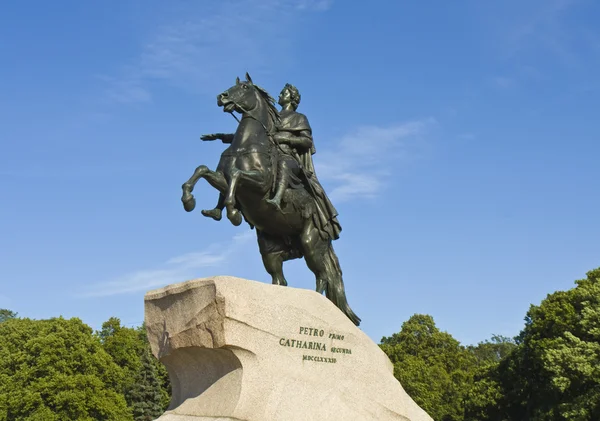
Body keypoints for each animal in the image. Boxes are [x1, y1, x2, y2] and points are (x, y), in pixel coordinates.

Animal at [180, 74, 358, 324]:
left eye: (244, 87)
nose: (221, 96)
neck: (246, 145)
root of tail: (328, 231)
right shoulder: (222, 179)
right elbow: (203, 170)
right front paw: (191, 201)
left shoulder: (260, 184)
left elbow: (237, 175)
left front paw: (233, 212)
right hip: (270, 251)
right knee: (280, 280)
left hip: (310, 243)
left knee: (322, 277)